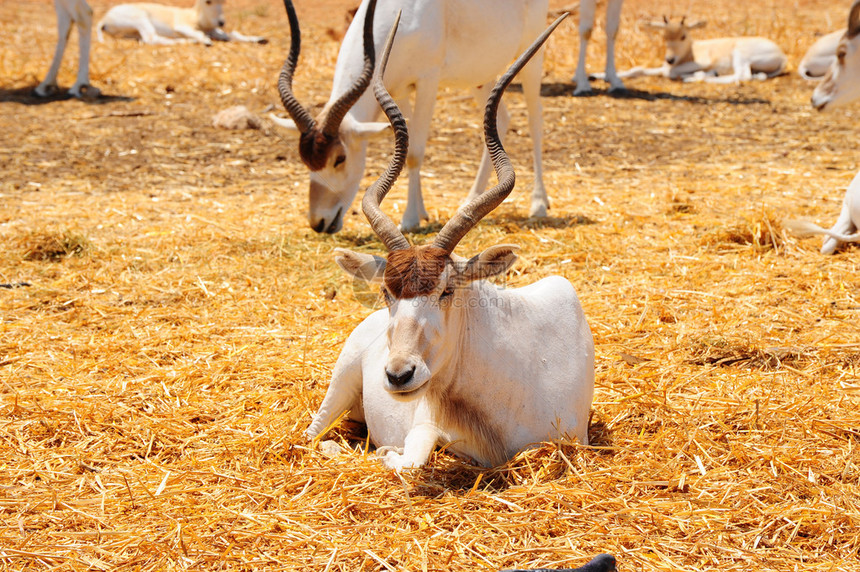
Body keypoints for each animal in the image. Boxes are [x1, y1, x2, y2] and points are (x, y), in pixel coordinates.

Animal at [96, 0, 266, 45]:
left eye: (223, 2)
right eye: (208, 1)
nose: (221, 22)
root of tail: (104, 19)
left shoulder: (215, 31)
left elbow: (233, 35)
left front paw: (260, 39)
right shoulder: (181, 26)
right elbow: (201, 35)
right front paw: (206, 41)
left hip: (132, 32)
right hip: (140, 18)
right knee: (151, 39)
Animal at [274, 0, 552, 235]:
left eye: (340, 159)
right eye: (305, 161)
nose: (319, 223)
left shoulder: (428, 80)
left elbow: (416, 152)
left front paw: (409, 219)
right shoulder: (399, 89)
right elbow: (407, 151)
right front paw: (420, 212)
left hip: (532, 57)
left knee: (535, 119)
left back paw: (538, 204)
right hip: (480, 76)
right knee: (502, 118)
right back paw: (470, 199)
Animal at [302, 13, 592, 472]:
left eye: (447, 291)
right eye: (386, 293)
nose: (399, 375)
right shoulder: (425, 422)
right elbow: (409, 458)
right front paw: (383, 450)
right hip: (341, 380)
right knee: (311, 435)